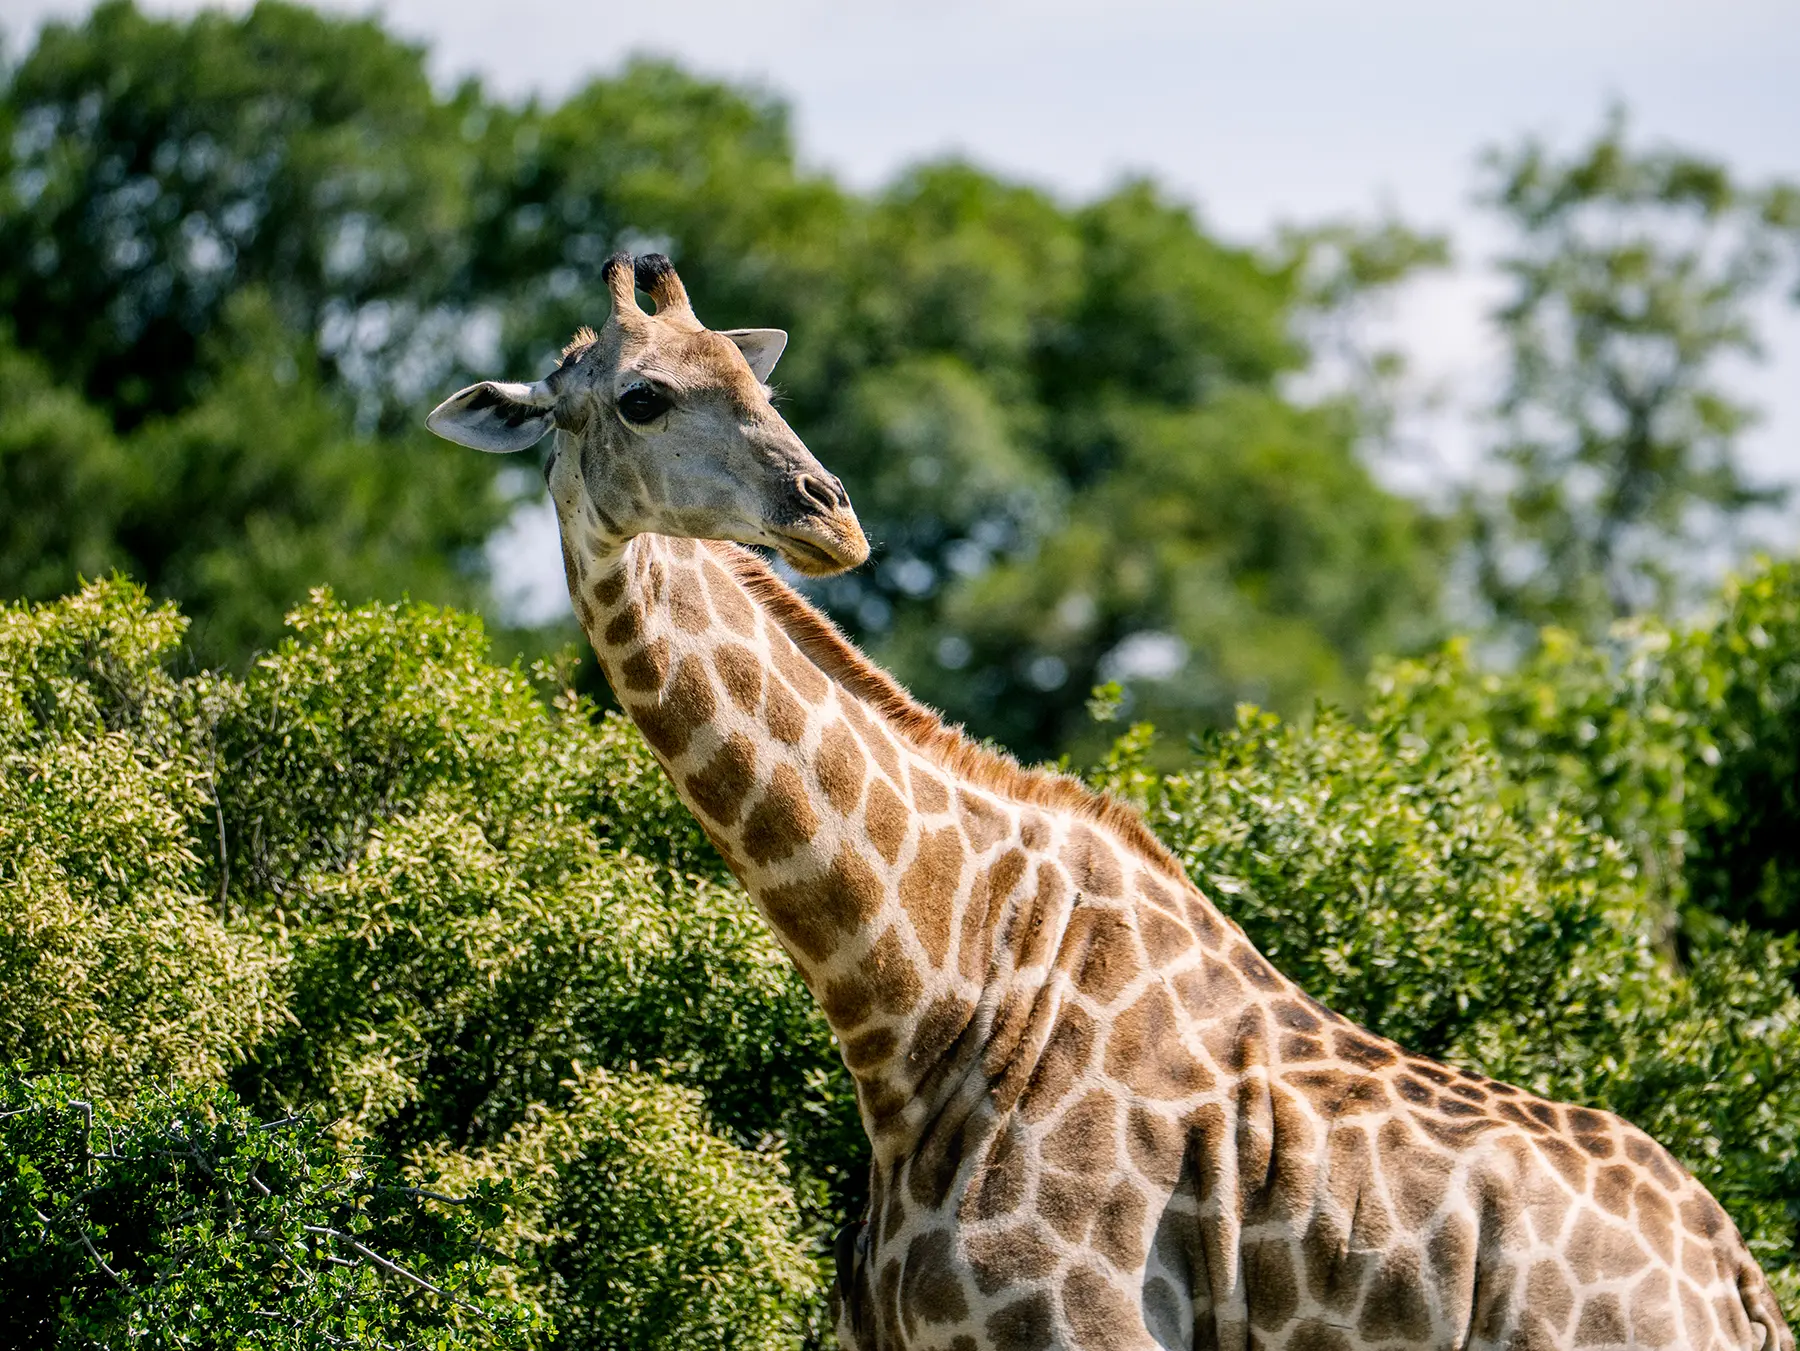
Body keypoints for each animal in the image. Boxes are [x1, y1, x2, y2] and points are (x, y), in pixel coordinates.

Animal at [427, 253, 1792, 1351]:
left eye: (759, 388)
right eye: (643, 396)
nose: (831, 516)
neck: (925, 999)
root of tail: (1736, 1281)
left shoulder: (1085, 1329)